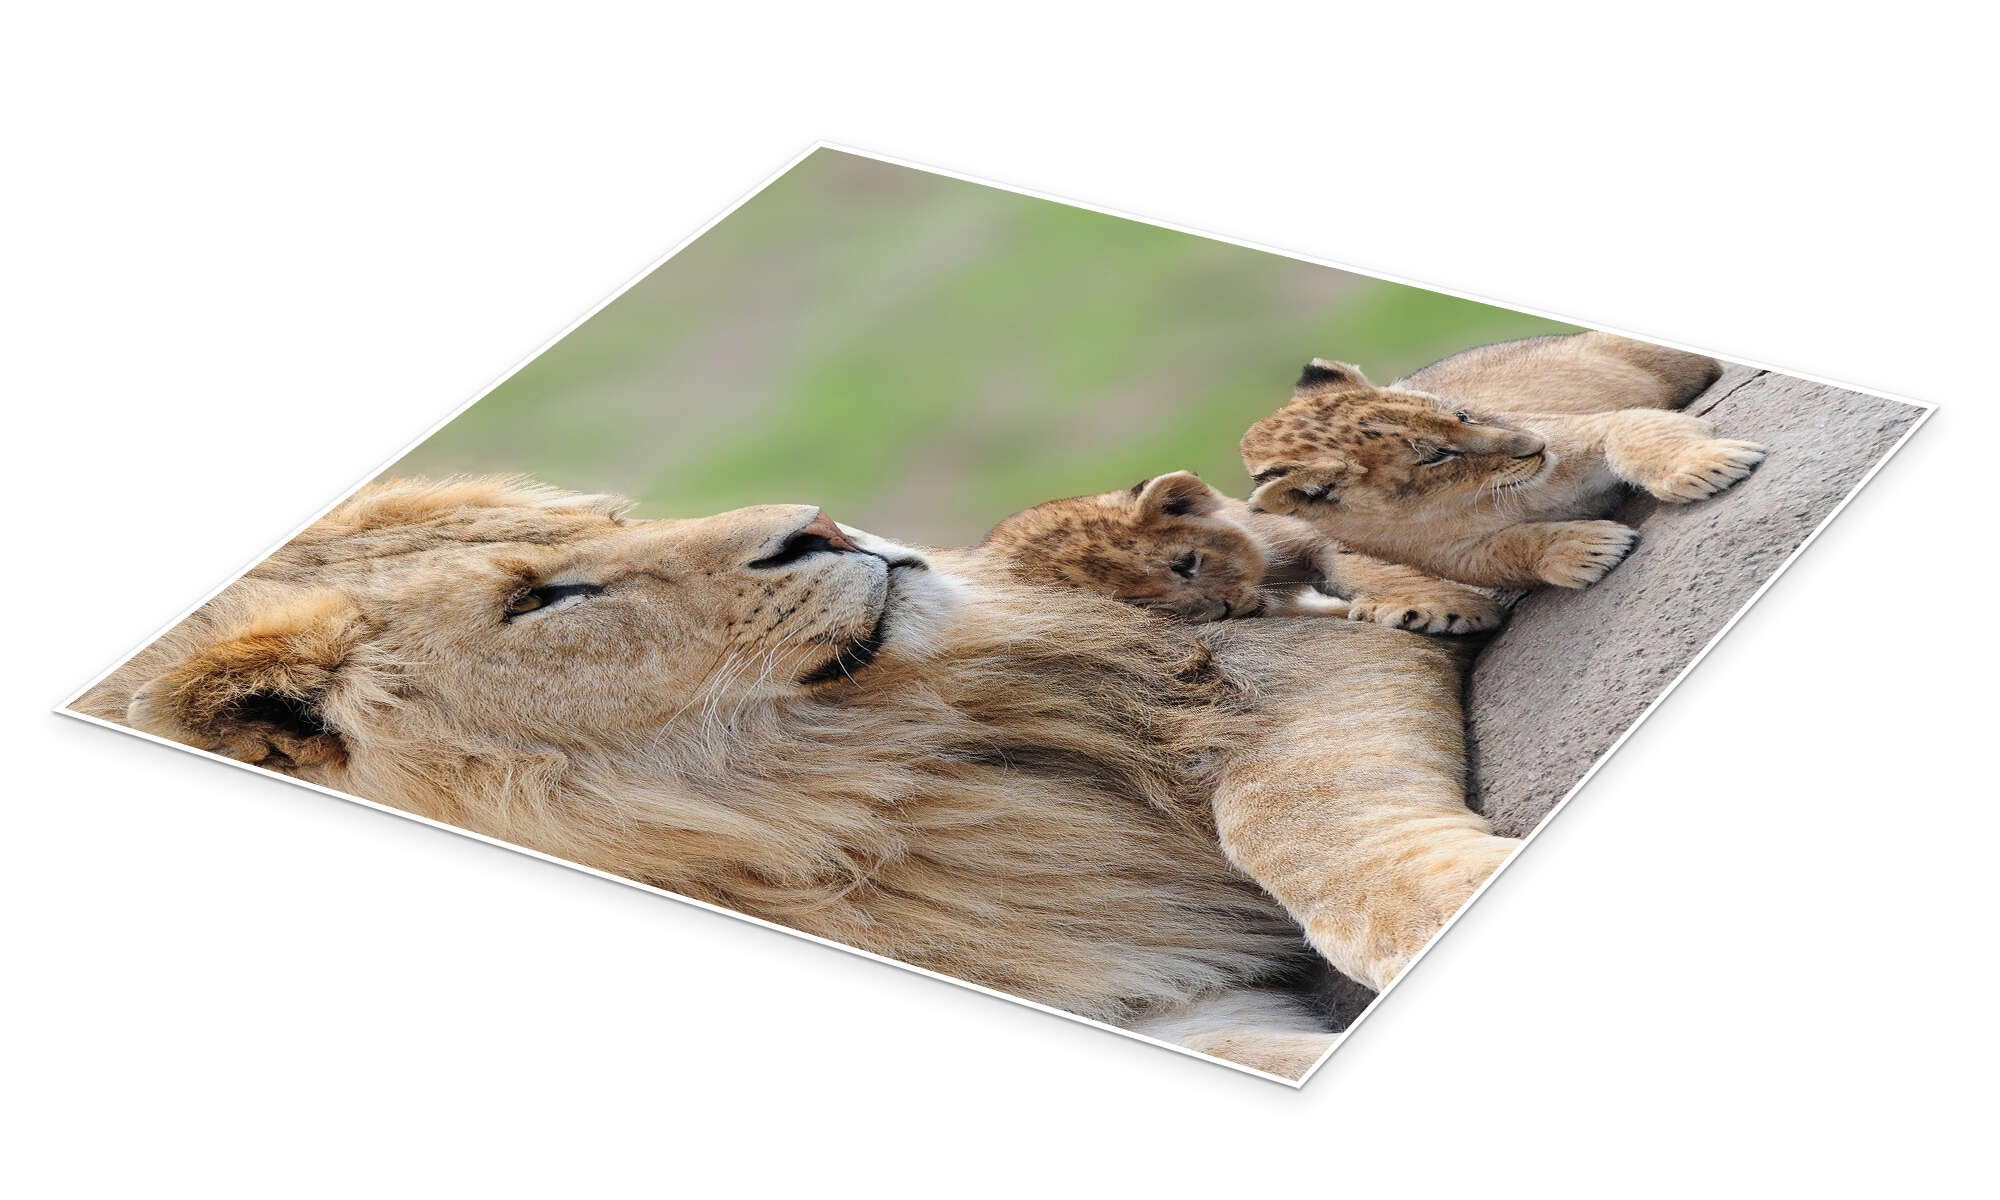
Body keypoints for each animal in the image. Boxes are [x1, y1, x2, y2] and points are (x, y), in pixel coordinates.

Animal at [976, 469, 1504, 634]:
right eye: (1139, 606)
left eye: (1186, 562)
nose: (1225, 608)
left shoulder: (1300, 530)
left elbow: (1358, 561)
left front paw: (1438, 608)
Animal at [1240, 332, 1763, 590]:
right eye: (1437, 456)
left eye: (1459, 414)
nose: (1534, 445)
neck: (1475, 502)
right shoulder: (1453, 558)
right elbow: (1512, 551)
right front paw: (1584, 549)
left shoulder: (1584, 429)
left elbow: (1637, 434)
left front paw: (1705, 465)